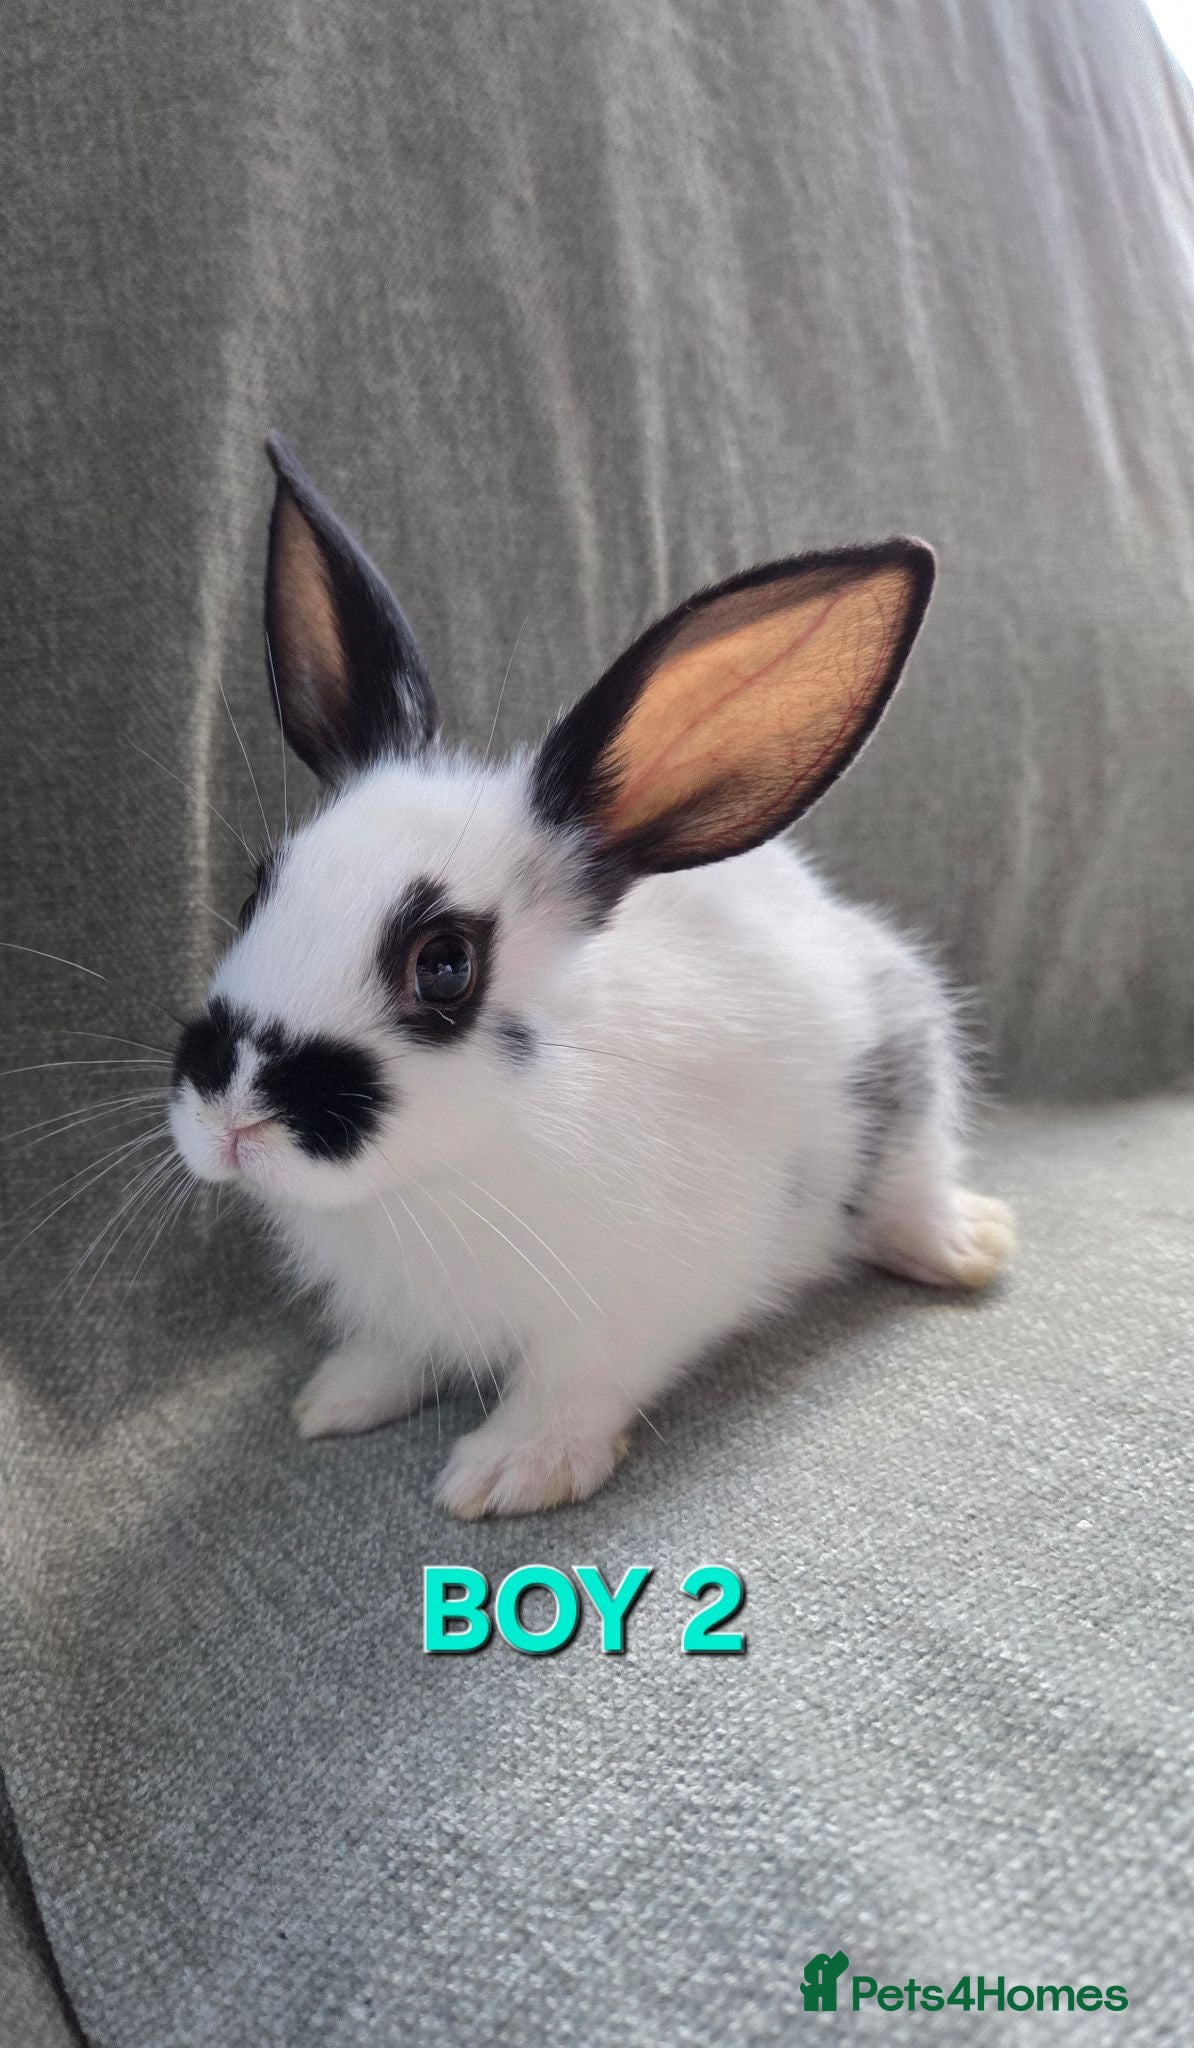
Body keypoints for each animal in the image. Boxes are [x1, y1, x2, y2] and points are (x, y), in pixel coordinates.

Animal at [169, 435, 1014, 1518]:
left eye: (445, 965)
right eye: (255, 892)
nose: (234, 1119)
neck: (436, 1176)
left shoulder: (639, 1300)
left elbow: (572, 1382)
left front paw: (506, 1474)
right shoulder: (401, 1308)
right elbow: (393, 1352)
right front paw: (337, 1401)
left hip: (906, 1083)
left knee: (913, 1187)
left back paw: (965, 1248)